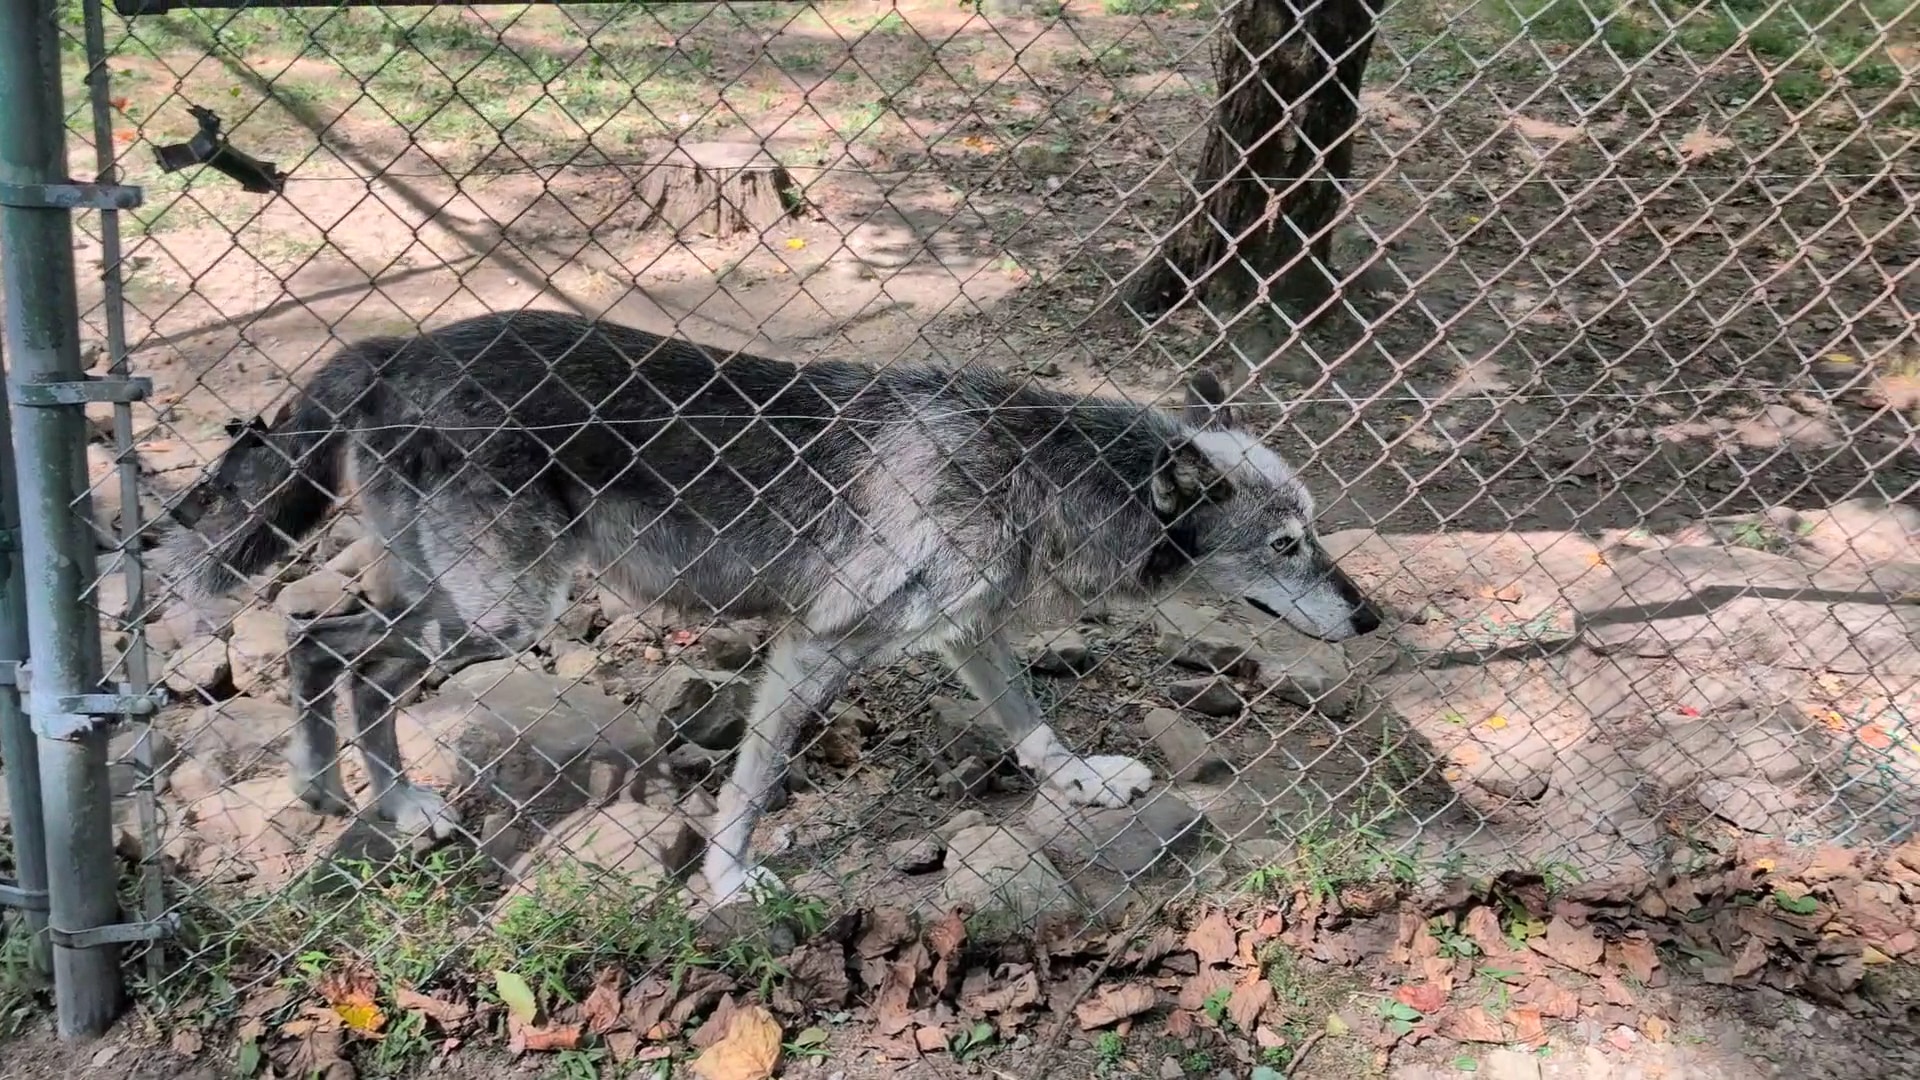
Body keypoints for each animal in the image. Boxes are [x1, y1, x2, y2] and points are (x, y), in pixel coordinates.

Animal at [159, 309, 1381, 904]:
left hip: (451, 604)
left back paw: (344, 792)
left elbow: (1030, 717)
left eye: (1316, 530)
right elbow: (752, 779)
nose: (1371, 621)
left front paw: (1078, 781)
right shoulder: (818, 644)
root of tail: (391, 348)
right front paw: (729, 876)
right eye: (1286, 545)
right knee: (349, 657)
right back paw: (382, 800)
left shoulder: (964, 632)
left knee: (320, 643)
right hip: (500, 616)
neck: (1041, 467)